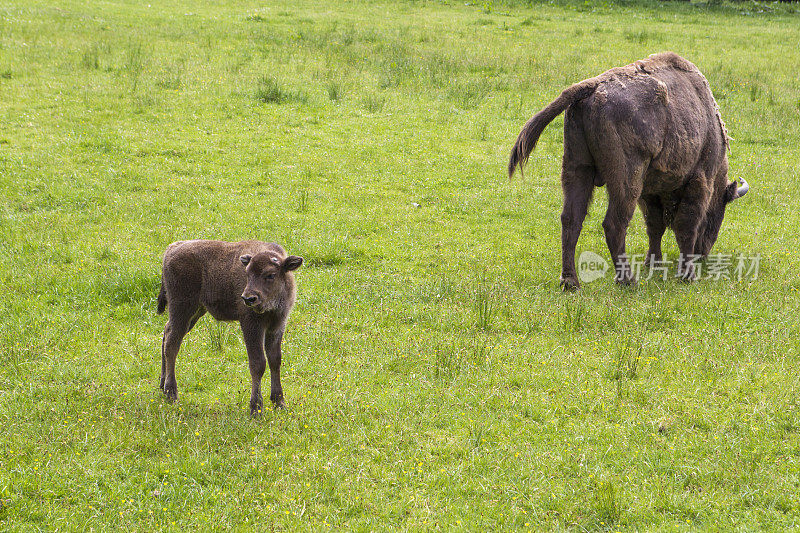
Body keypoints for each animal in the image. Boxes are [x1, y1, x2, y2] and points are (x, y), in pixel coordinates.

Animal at [157, 239, 304, 414]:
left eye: (270, 275)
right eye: (247, 274)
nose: (248, 298)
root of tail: (171, 249)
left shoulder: (277, 326)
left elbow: (275, 360)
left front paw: (279, 402)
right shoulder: (251, 326)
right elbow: (258, 363)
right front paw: (255, 408)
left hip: (195, 311)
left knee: (167, 332)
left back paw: (162, 385)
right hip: (182, 308)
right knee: (172, 344)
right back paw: (171, 394)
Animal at [510, 52, 748, 288]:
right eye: (720, 209)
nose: (703, 254)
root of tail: (592, 86)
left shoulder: (649, 191)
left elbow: (654, 225)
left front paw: (653, 262)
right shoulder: (700, 180)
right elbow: (686, 225)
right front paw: (686, 274)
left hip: (577, 168)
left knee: (571, 219)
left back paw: (570, 281)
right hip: (626, 179)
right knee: (614, 223)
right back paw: (627, 279)